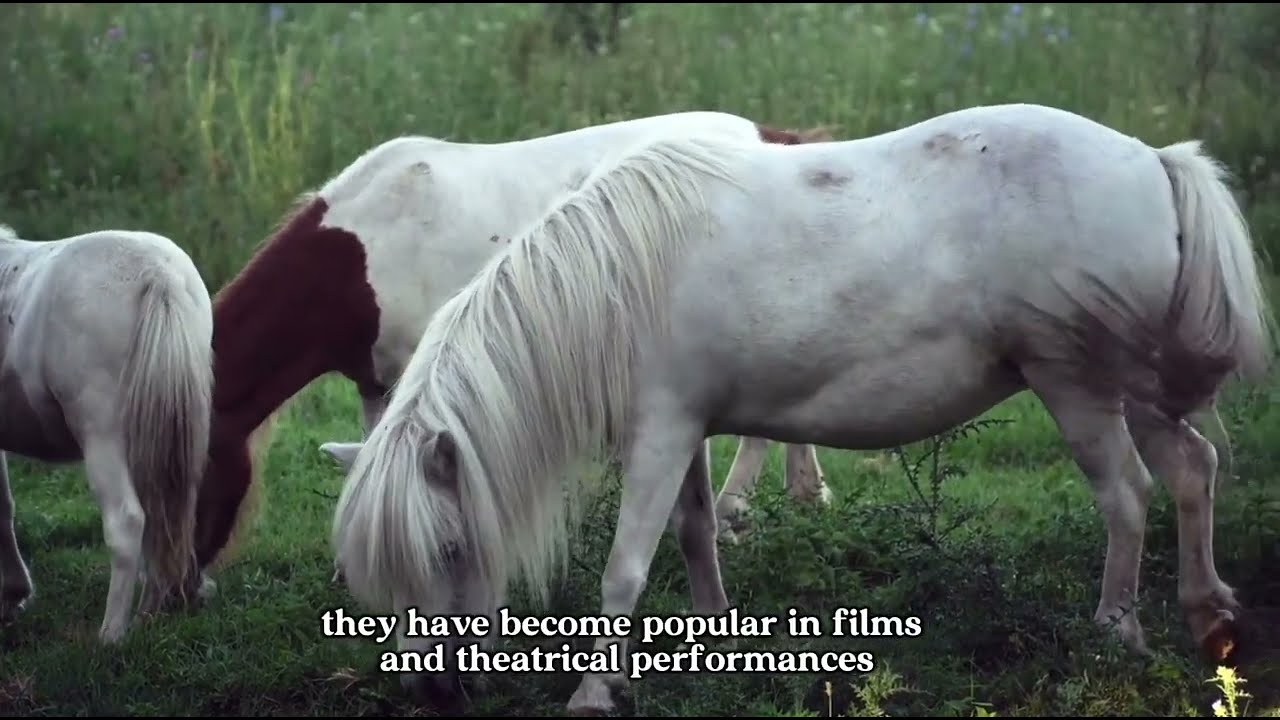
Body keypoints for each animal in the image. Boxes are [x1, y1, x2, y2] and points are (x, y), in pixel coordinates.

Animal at [0, 223, 214, 643]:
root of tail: (158, 272)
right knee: (163, 512)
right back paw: (150, 612)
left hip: (103, 436)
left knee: (127, 521)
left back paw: (111, 636)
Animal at [194, 109, 839, 587]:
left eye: (194, 478)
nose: (181, 593)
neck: (359, 258)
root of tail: (774, 139)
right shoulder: (378, 383)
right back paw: (803, 491)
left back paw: (736, 509)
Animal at [323, 102, 1274, 715]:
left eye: (450, 550)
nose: (430, 693)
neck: (612, 287)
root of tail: (1154, 159)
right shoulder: (686, 432)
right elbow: (697, 531)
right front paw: (716, 637)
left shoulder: (658, 436)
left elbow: (624, 572)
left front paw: (593, 693)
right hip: (1135, 386)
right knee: (1191, 472)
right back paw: (1209, 616)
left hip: (1076, 383)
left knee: (1127, 497)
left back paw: (1119, 633)